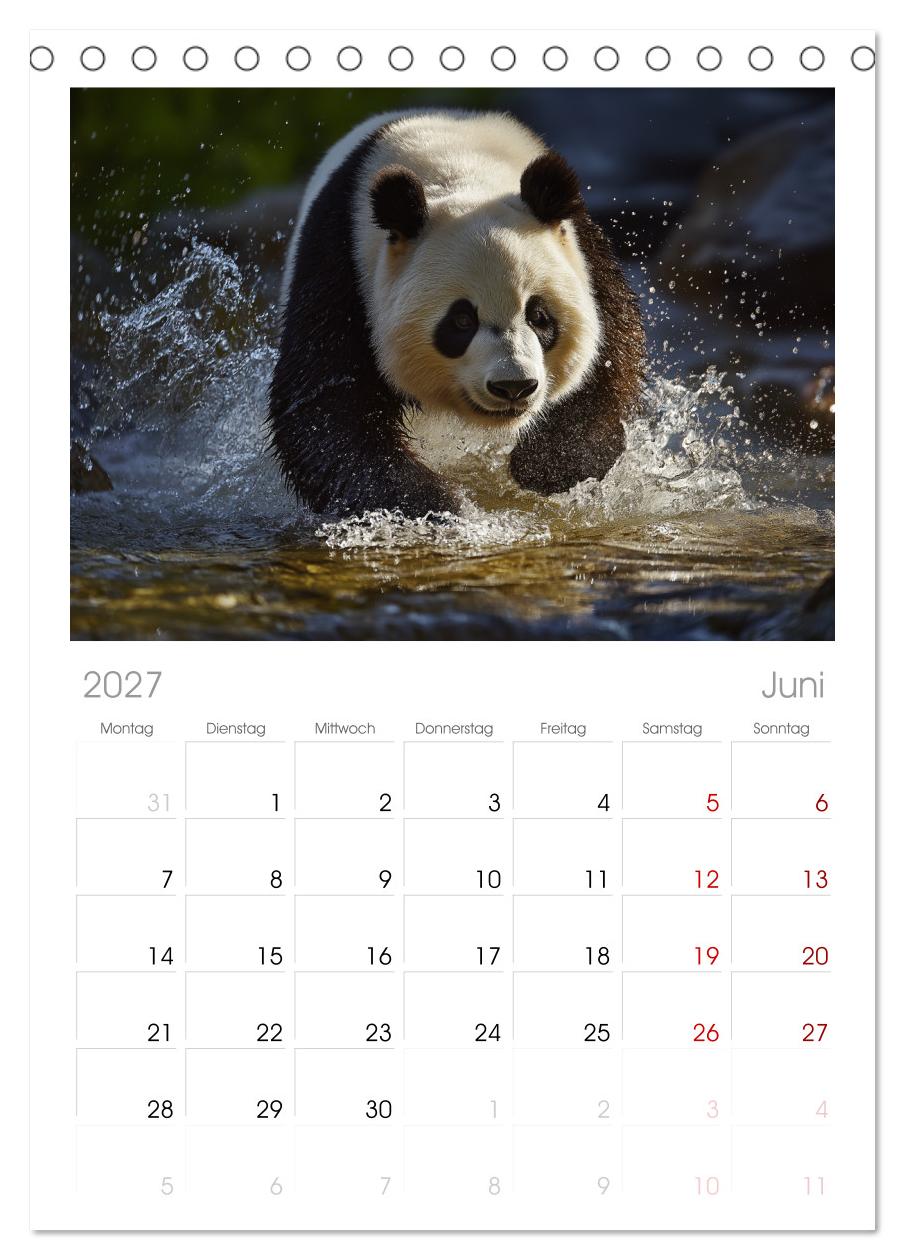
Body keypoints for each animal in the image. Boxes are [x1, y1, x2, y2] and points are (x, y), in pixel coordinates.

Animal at [269, 110, 645, 517]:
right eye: (462, 321)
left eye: (539, 317)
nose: (513, 386)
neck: (460, 169)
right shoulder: (343, 265)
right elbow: (325, 403)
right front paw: (436, 501)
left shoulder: (584, 254)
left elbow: (608, 360)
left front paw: (548, 465)